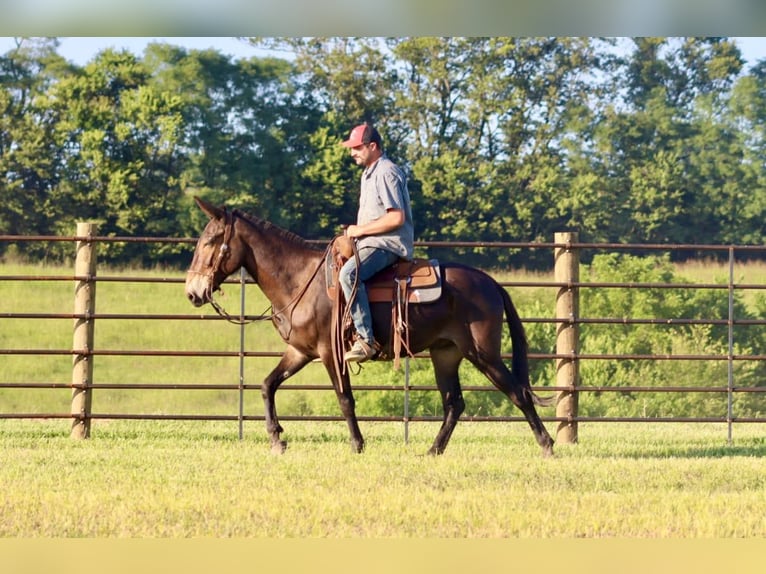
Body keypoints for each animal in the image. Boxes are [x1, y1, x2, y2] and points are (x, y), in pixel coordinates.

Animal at [186, 198, 560, 460]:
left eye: (210, 241)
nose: (192, 292)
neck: (300, 280)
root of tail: (490, 283)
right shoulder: (300, 352)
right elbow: (267, 386)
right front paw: (277, 439)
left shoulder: (330, 353)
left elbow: (345, 399)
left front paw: (357, 444)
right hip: (446, 354)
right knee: (454, 403)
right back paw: (432, 451)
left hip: (483, 353)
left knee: (517, 392)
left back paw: (547, 445)